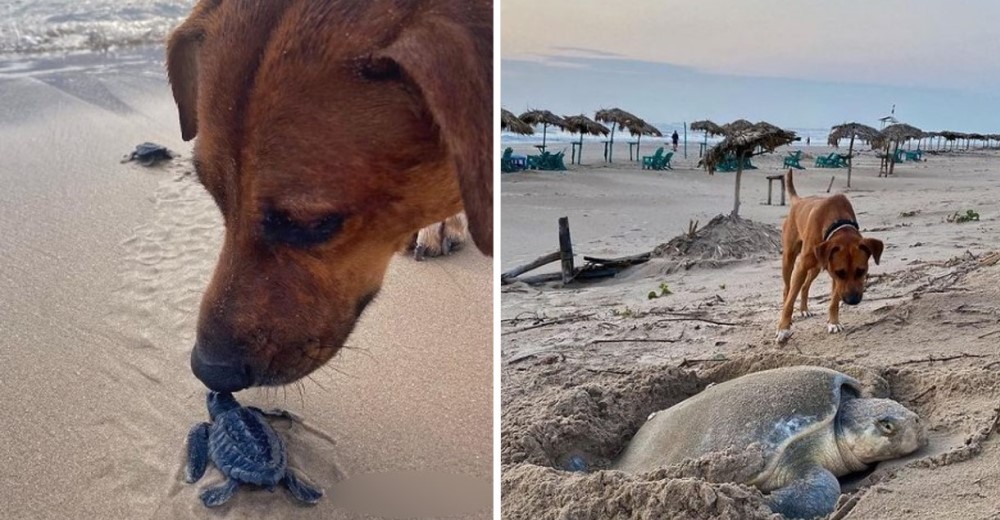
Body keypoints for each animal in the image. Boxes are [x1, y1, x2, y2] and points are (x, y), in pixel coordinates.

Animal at [772, 169, 884, 344]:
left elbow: (834, 300)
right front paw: (783, 328)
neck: (836, 221)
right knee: (787, 289)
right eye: (840, 272)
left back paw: (804, 309)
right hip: (789, 259)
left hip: (817, 266)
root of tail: (798, 201)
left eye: (862, 271)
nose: (853, 301)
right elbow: (790, 300)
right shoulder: (805, 267)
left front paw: (833, 322)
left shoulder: (833, 273)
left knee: (805, 286)